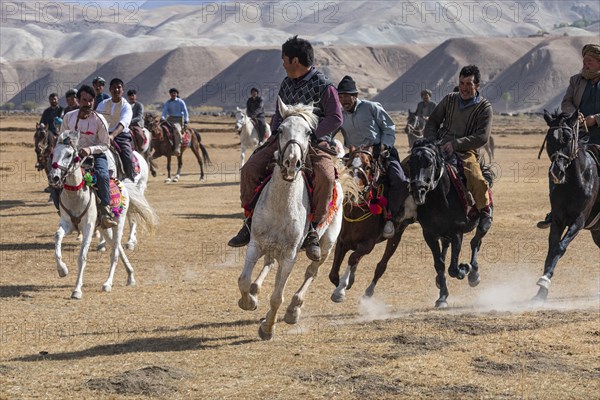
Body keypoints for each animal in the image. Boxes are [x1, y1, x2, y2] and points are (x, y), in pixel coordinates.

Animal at [48, 130, 158, 298]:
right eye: (54, 153)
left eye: (69, 154)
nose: (54, 177)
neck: (76, 195)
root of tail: (122, 184)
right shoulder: (67, 225)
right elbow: (57, 237)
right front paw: (62, 270)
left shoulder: (88, 228)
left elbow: (82, 257)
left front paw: (77, 290)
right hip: (103, 227)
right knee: (116, 246)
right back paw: (130, 276)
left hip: (118, 224)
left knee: (115, 252)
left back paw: (108, 283)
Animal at [237, 97, 354, 340]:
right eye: (280, 129)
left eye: (309, 132)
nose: (292, 162)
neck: (281, 205)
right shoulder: (255, 244)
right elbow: (243, 280)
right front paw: (249, 301)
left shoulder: (290, 255)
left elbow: (277, 296)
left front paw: (268, 328)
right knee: (269, 262)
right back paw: (256, 291)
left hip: (326, 246)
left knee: (311, 272)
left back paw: (293, 310)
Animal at [328, 145, 408, 302]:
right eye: (349, 164)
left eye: (368, 167)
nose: (351, 191)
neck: (355, 213)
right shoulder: (342, 241)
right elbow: (333, 274)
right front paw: (343, 284)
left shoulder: (368, 244)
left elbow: (353, 258)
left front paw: (340, 290)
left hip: (397, 235)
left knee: (381, 265)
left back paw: (368, 291)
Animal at [410, 139, 494, 308]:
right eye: (410, 162)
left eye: (429, 163)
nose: (418, 191)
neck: (440, 198)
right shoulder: (429, 234)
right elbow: (439, 264)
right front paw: (442, 297)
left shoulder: (457, 233)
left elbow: (453, 268)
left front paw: (464, 269)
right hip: (443, 235)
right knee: (446, 248)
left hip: (484, 223)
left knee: (476, 242)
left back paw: (473, 274)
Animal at [536, 109, 600, 300]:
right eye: (549, 138)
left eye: (568, 137)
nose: (556, 172)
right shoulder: (558, 219)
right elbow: (552, 249)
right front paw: (541, 291)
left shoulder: (578, 220)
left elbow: (560, 248)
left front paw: (544, 282)